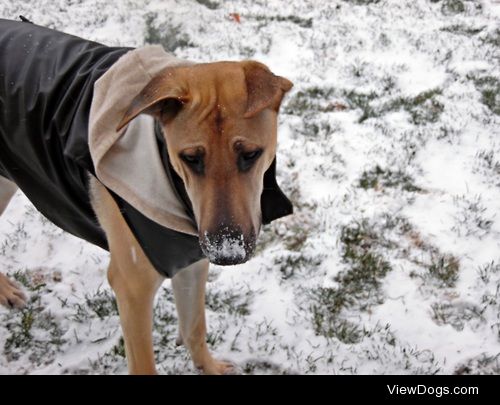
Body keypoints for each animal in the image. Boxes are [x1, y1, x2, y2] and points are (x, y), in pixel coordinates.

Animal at [0, 18, 292, 372]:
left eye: (250, 154)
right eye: (190, 158)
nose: (226, 253)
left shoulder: (191, 261)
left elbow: (194, 327)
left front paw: (208, 367)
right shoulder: (132, 287)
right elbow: (144, 364)